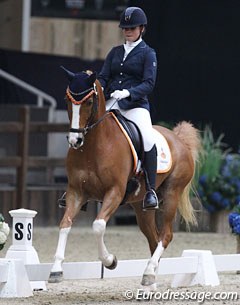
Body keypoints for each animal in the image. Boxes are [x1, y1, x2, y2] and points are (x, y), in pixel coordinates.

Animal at [48, 67, 201, 290]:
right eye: (67, 100)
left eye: (88, 101)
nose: (75, 140)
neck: (93, 146)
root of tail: (179, 140)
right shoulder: (76, 192)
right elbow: (64, 224)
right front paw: (56, 269)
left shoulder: (115, 192)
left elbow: (98, 226)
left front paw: (110, 261)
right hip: (141, 208)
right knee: (153, 239)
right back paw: (150, 283)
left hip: (172, 194)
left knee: (165, 235)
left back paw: (149, 273)